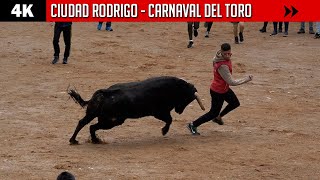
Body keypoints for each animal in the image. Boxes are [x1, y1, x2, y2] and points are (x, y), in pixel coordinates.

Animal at [67, 76, 205, 145]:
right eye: (187, 98)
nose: (179, 111)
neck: (174, 88)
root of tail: (104, 93)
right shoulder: (159, 112)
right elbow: (169, 120)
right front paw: (164, 131)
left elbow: (169, 120)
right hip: (112, 121)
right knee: (91, 126)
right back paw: (91, 140)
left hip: (94, 114)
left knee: (83, 123)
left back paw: (76, 140)